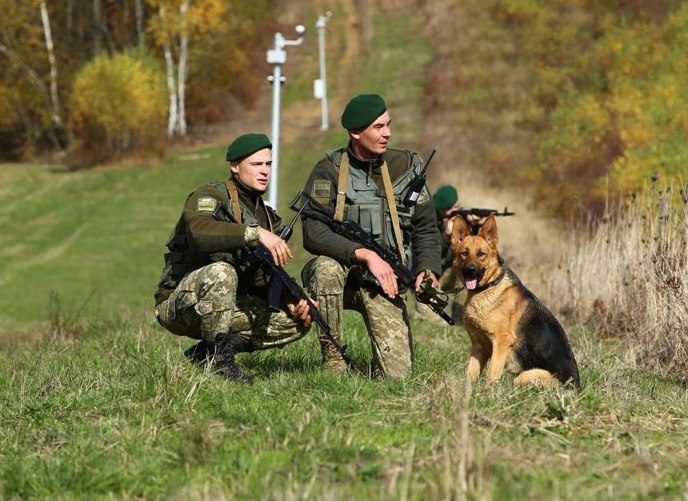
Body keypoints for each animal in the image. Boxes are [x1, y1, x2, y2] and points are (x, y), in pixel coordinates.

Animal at [452, 214, 580, 386]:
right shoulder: (479, 347)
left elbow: (491, 374)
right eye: (464, 253)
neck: (488, 287)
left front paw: (487, 391)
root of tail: (576, 387)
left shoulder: (501, 342)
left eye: (481, 254)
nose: (470, 270)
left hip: (524, 376)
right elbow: (470, 374)